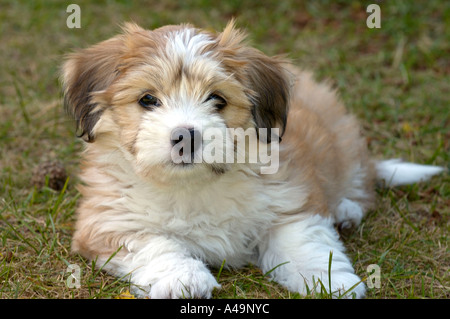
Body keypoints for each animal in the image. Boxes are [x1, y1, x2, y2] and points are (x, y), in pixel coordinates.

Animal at [60, 21, 442, 298]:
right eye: (148, 100)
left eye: (217, 99)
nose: (186, 136)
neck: (194, 184)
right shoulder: (108, 220)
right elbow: (153, 243)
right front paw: (184, 278)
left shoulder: (289, 198)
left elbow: (303, 241)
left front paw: (329, 279)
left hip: (343, 140)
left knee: (358, 183)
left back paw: (346, 209)